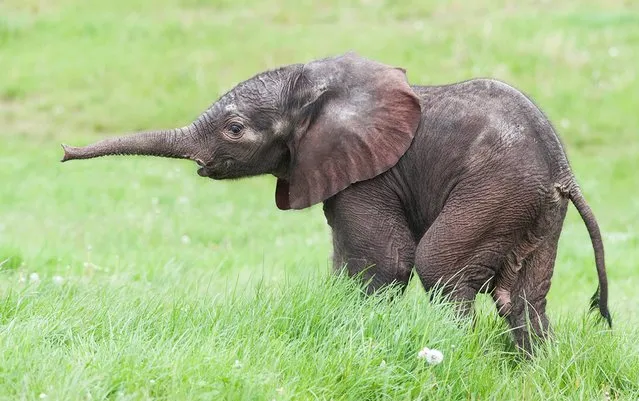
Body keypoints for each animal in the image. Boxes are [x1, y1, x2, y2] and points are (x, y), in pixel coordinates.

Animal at [62, 51, 612, 352]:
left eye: (234, 129)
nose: (64, 152)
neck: (316, 86)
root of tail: (563, 171)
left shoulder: (369, 176)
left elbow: (385, 261)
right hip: (531, 207)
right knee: (522, 297)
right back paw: (532, 369)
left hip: (494, 191)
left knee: (441, 268)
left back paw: (451, 351)